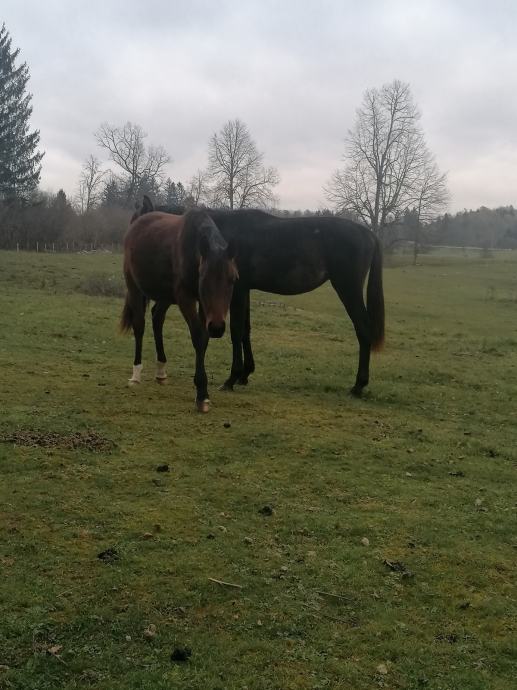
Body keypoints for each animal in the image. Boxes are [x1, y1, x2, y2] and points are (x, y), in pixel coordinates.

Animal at [120, 207, 237, 412]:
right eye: (203, 279)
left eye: (232, 280)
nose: (217, 328)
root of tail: (137, 222)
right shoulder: (185, 298)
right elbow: (197, 337)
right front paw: (202, 394)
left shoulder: (203, 305)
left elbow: (203, 339)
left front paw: (202, 393)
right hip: (134, 287)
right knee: (139, 325)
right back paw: (136, 374)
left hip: (166, 296)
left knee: (157, 318)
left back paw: (161, 371)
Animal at [133, 196, 382, 396]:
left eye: (139, 221)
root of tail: (369, 233)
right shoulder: (244, 291)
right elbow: (246, 330)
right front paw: (245, 374)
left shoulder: (237, 291)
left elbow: (236, 331)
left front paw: (232, 378)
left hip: (348, 288)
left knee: (363, 329)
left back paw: (358, 385)